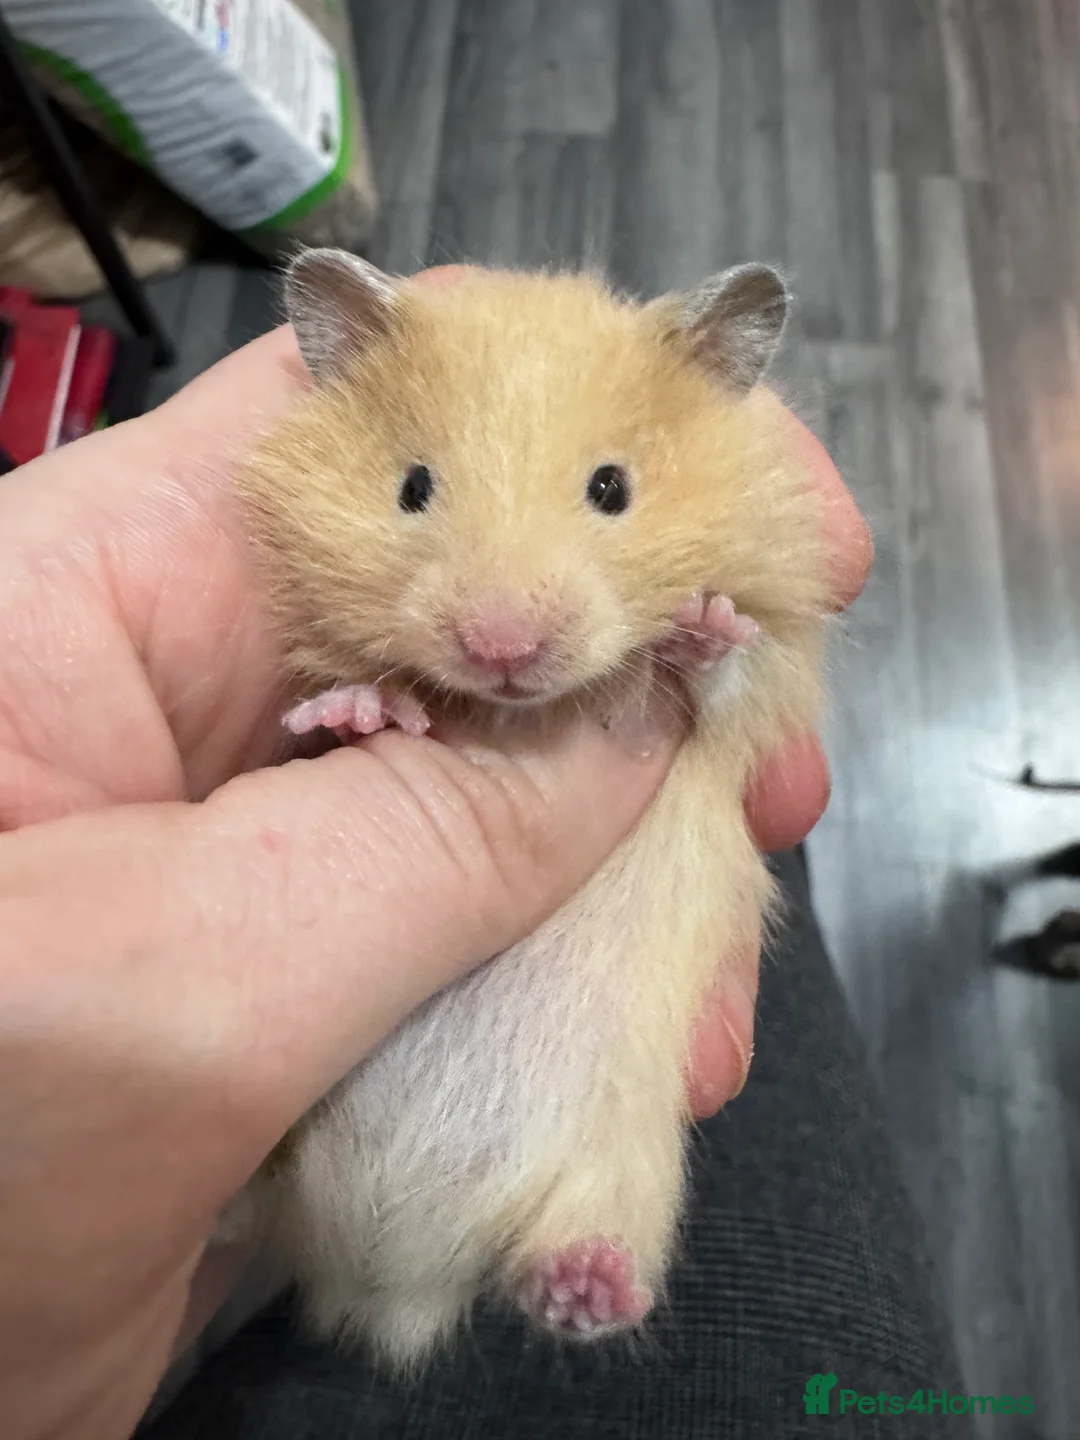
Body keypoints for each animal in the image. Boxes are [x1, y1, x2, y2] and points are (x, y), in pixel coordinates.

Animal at [230, 251, 832, 1370]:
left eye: (613, 488)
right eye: (412, 488)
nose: (501, 648)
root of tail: (386, 1286)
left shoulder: (770, 687)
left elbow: (733, 677)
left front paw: (700, 627)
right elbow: (335, 722)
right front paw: (361, 710)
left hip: (622, 1159)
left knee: (582, 1250)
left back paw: (584, 1291)